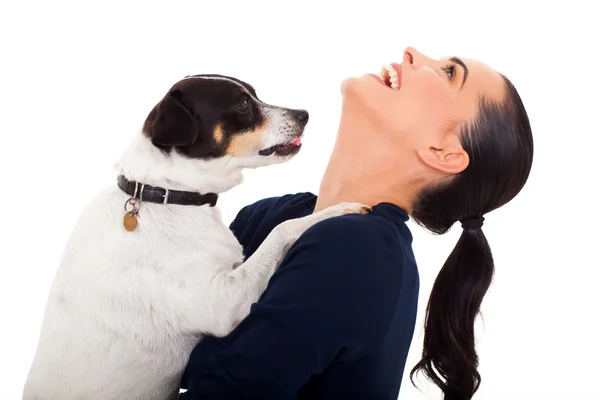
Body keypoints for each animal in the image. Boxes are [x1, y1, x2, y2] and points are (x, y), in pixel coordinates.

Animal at [22, 76, 370, 400]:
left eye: (254, 94)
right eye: (243, 105)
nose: (304, 114)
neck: (166, 194)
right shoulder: (227, 303)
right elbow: (282, 229)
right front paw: (336, 210)